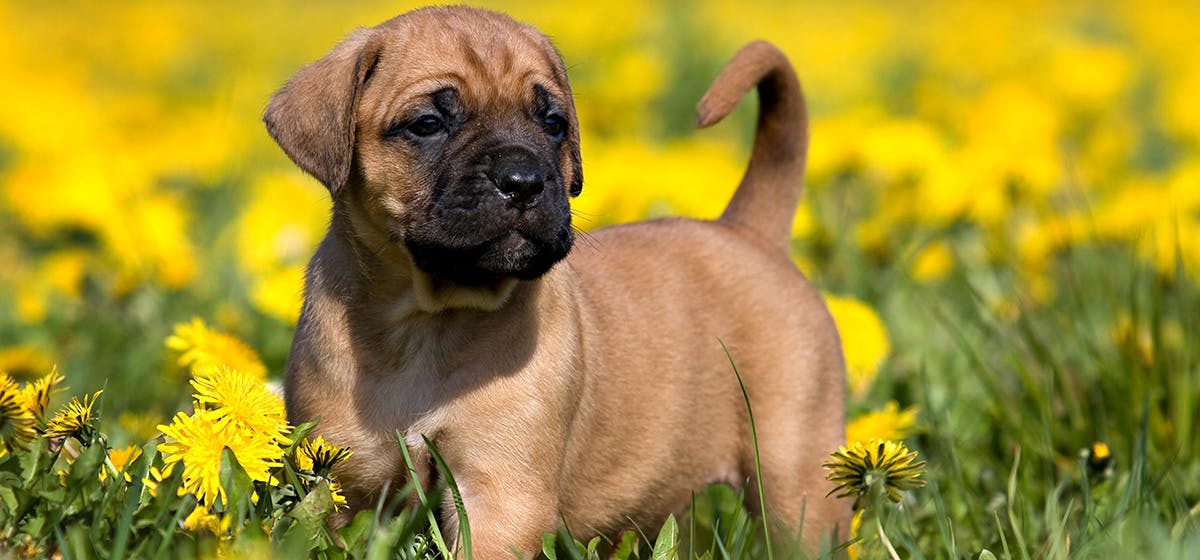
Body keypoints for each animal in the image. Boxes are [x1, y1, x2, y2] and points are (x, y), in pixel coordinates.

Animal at [265, 6, 844, 558]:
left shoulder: (501, 493)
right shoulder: (347, 483)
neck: (429, 320)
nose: (523, 181)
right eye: (428, 123)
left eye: (552, 122)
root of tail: (748, 231)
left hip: (793, 476)